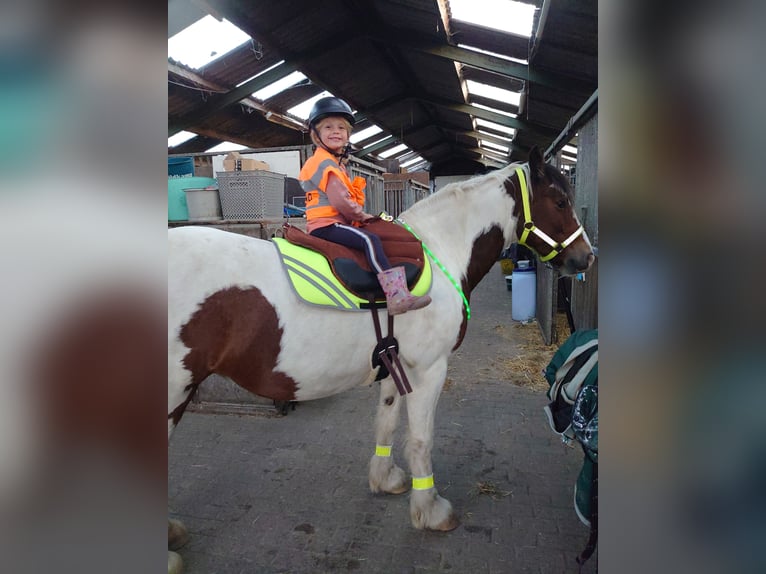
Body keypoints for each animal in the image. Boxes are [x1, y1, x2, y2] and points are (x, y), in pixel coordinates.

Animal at [168, 147, 596, 572]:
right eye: (560, 201)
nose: (586, 258)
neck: (440, 250)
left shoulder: (394, 365)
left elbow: (387, 422)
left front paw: (386, 478)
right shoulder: (430, 370)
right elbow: (421, 440)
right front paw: (430, 510)